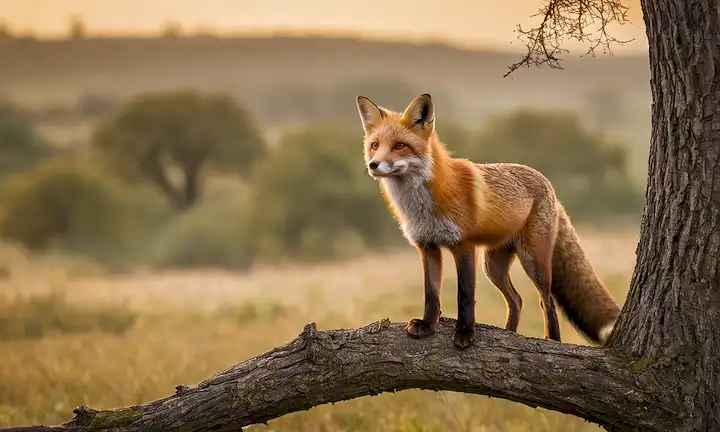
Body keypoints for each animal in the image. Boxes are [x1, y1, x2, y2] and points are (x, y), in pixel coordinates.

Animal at [355, 93, 622, 349]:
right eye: (375, 146)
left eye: (400, 146)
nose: (373, 165)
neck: (422, 206)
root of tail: (548, 184)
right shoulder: (427, 246)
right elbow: (432, 293)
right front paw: (427, 325)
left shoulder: (463, 246)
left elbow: (465, 296)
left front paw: (464, 333)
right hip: (493, 267)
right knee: (516, 300)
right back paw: (510, 334)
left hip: (533, 261)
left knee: (545, 302)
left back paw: (552, 340)